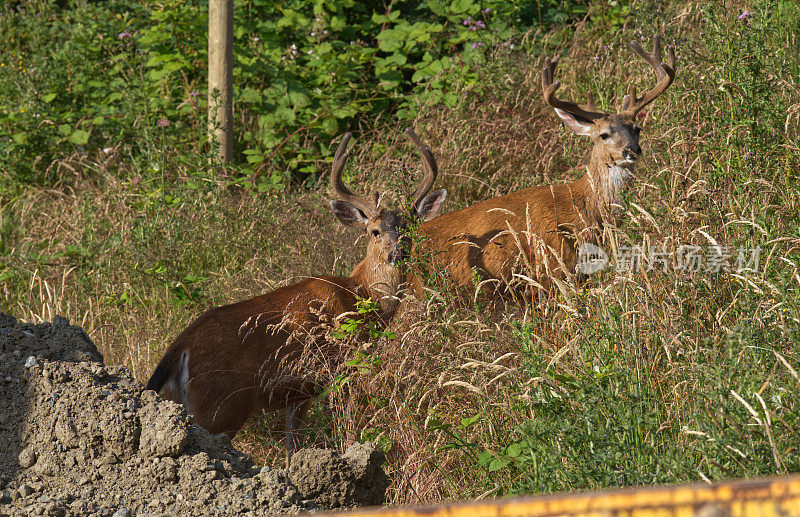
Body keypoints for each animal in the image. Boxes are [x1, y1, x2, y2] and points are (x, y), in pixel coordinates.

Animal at [142, 128, 444, 452]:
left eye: (410, 229)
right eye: (374, 231)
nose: (397, 253)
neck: (360, 295)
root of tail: (178, 349)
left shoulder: (298, 393)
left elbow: (292, 448)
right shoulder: (342, 367)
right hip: (218, 407)